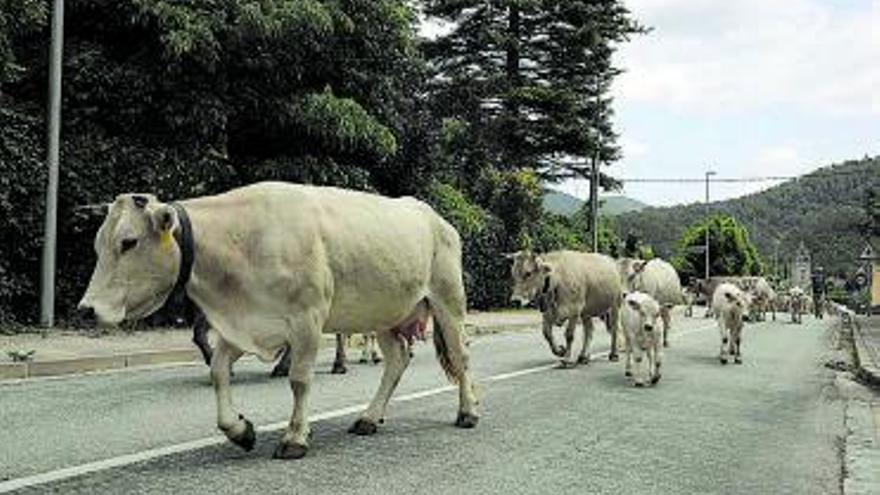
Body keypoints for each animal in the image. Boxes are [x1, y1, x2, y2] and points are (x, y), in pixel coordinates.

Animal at [81, 182, 482, 462]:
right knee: (397, 360)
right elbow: (219, 372)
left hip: (448, 300)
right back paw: (369, 418)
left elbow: (299, 380)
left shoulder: (307, 319)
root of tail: (433, 216)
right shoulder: (244, 324)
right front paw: (240, 430)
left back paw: (468, 411)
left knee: (460, 357)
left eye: (128, 242)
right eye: (98, 245)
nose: (86, 309)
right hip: (384, 312)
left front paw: (294, 438)